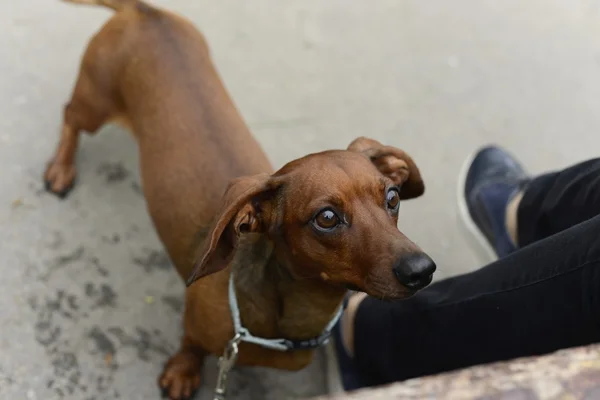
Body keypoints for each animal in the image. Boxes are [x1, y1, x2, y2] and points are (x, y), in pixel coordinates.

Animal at [43, 0, 436, 396]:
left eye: (392, 197)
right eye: (326, 218)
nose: (422, 270)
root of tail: (145, 12)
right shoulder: (196, 324)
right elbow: (190, 344)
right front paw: (183, 371)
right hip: (95, 102)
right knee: (70, 116)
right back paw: (61, 168)